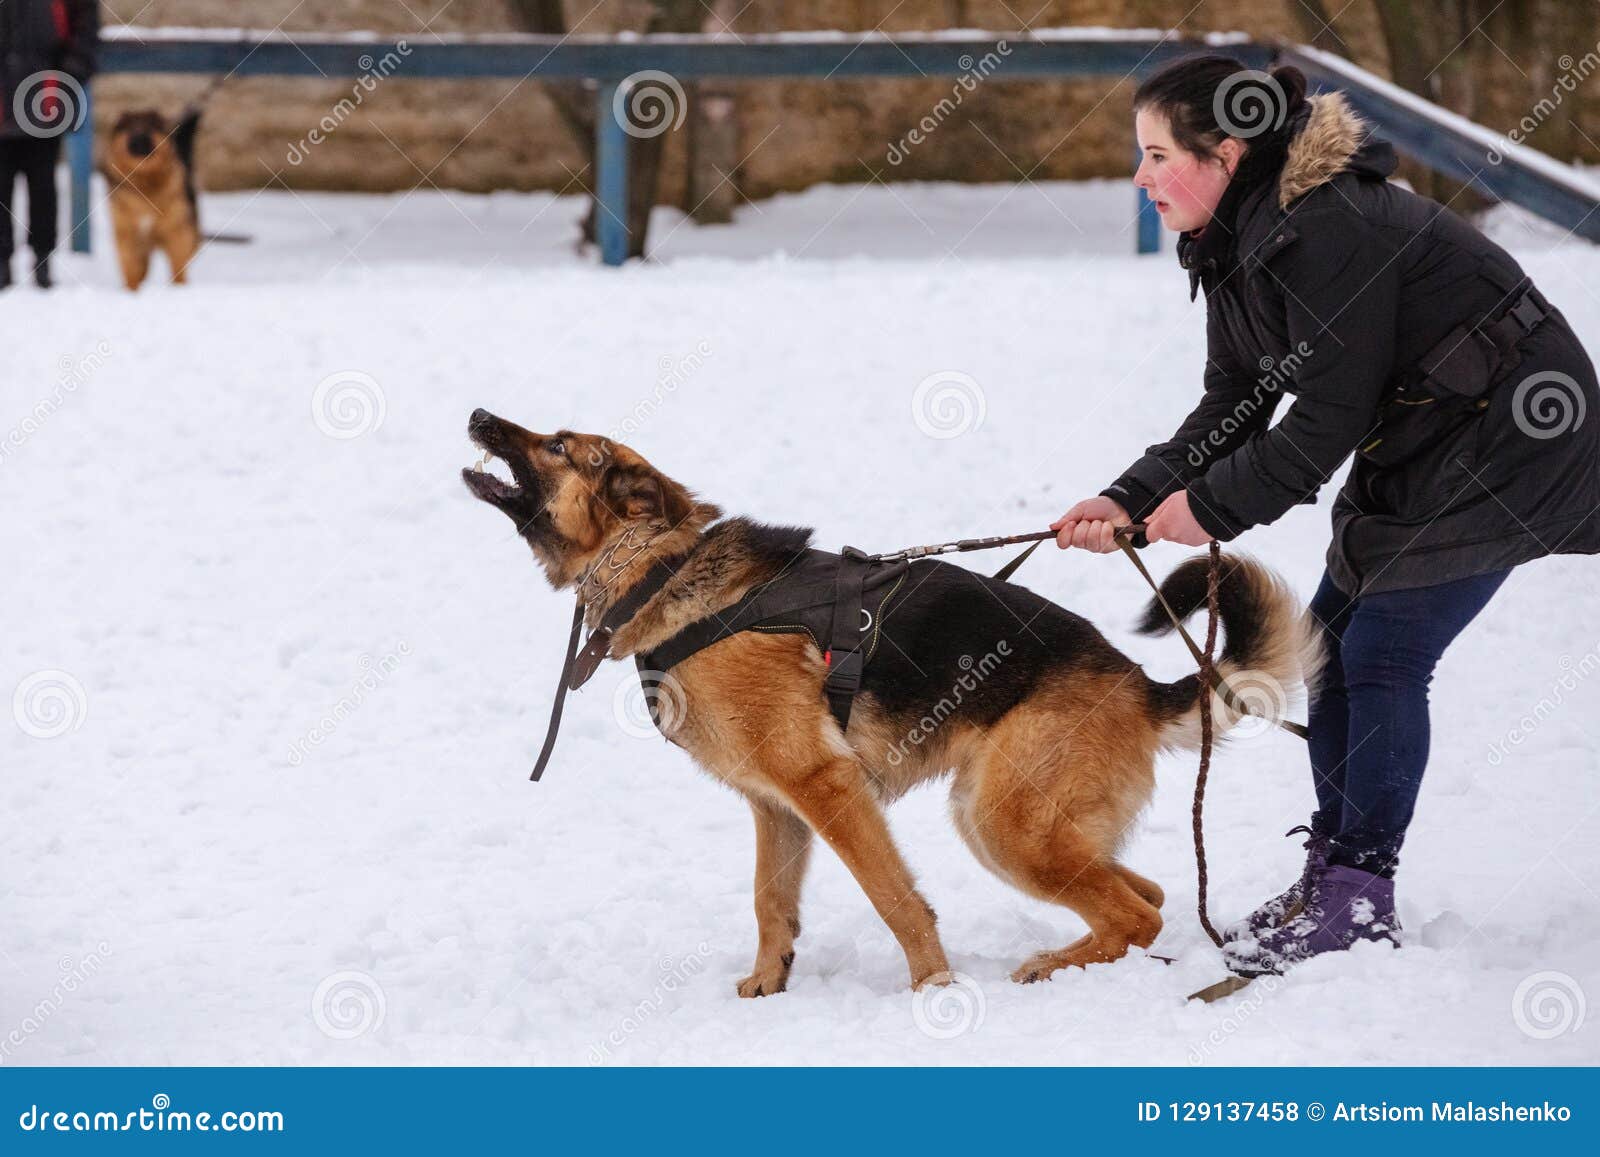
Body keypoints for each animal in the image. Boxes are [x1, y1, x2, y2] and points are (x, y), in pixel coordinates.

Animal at [101, 108, 200, 291]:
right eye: (130, 130)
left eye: (149, 129)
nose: (139, 141)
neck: (144, 183)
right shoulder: (127, 235)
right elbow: (131, 269)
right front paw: (131, 291)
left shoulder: (176, 234)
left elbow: (178, 267)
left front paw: (179, 289)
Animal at [467, 409, 1324, 998]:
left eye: (558, 445)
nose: (478, 415)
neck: (661, 569)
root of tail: (1138, 680)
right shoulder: (775, 805)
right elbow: (770, 901)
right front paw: (769, 983)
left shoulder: (827, 788)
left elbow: (895, 898)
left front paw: (932, 990)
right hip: (1012, 825)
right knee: (1145, 895)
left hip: (1002, 822)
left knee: (1134, 910)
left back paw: (1047, 967)